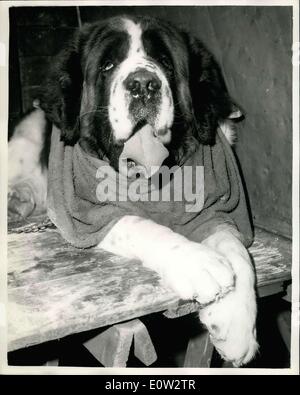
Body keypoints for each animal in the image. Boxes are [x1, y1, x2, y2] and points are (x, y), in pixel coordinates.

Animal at [8, 15, 258, 368]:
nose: (142, 85)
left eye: (165, 62)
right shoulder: (84, 215)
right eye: (108, 65)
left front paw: (236, 328)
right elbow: (140, 225)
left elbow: (235, 247)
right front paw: (199, 263)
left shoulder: (217, 208)